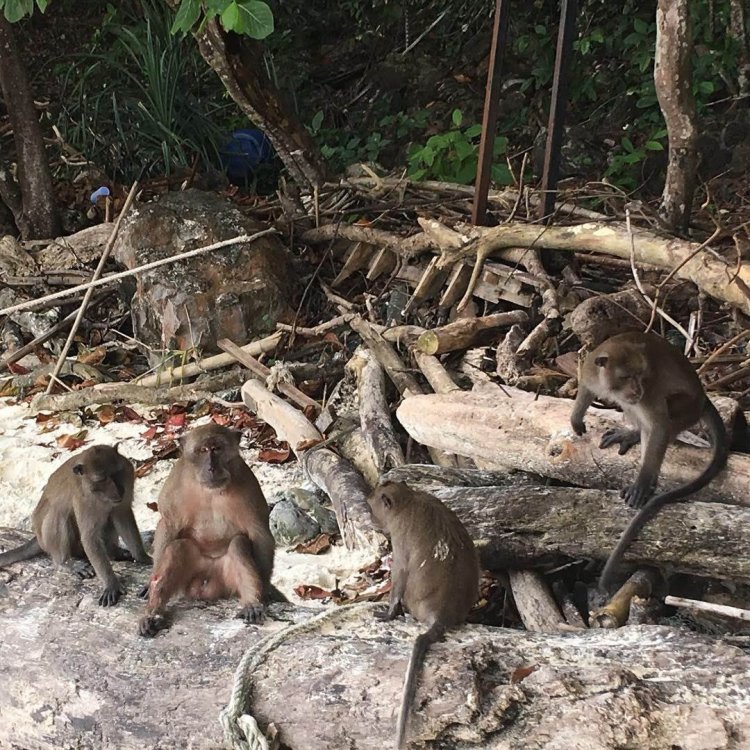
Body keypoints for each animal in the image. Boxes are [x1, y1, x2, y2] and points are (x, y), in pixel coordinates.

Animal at [0, 444, 152, 606]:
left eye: (116, 473)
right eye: (102, 479)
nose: (118, 491)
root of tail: (38, 538)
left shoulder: (128, 477)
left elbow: (122, 514)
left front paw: (143, 557)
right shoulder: (83, 498)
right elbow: (89, 537)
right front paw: (111, 584)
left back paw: (113, 551)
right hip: (50, 539)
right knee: (59, 512)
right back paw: (66, 562)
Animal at [138, 423, 277, 637]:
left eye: (217, 449)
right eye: (203, 450)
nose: (211, 468)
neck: (209, 491)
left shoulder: (248, 485)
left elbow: (259, 532)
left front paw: (264, 592)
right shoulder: (175, 485)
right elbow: (168, 525)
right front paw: (149, 585)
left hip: (226, 578)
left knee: (238, 545)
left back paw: (251, 604)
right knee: (178, 548)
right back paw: (153, 614)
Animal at [367, 481, 480, 750]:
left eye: (371, 506)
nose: (369, 519)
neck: (409, 500)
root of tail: (441, 615)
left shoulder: (399, 537)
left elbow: (399, 572)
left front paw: (389, 613)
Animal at [570, 331, 729, 590]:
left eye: (640, 375)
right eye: (626, 376)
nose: (636, 389)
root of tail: (704, 399)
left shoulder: (650, 390)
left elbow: (660, 426)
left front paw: (643, 482)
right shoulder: (591, 370)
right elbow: (585, 387)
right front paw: (575, 418)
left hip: (685, 408)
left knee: (664, 419)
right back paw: (632, 433)